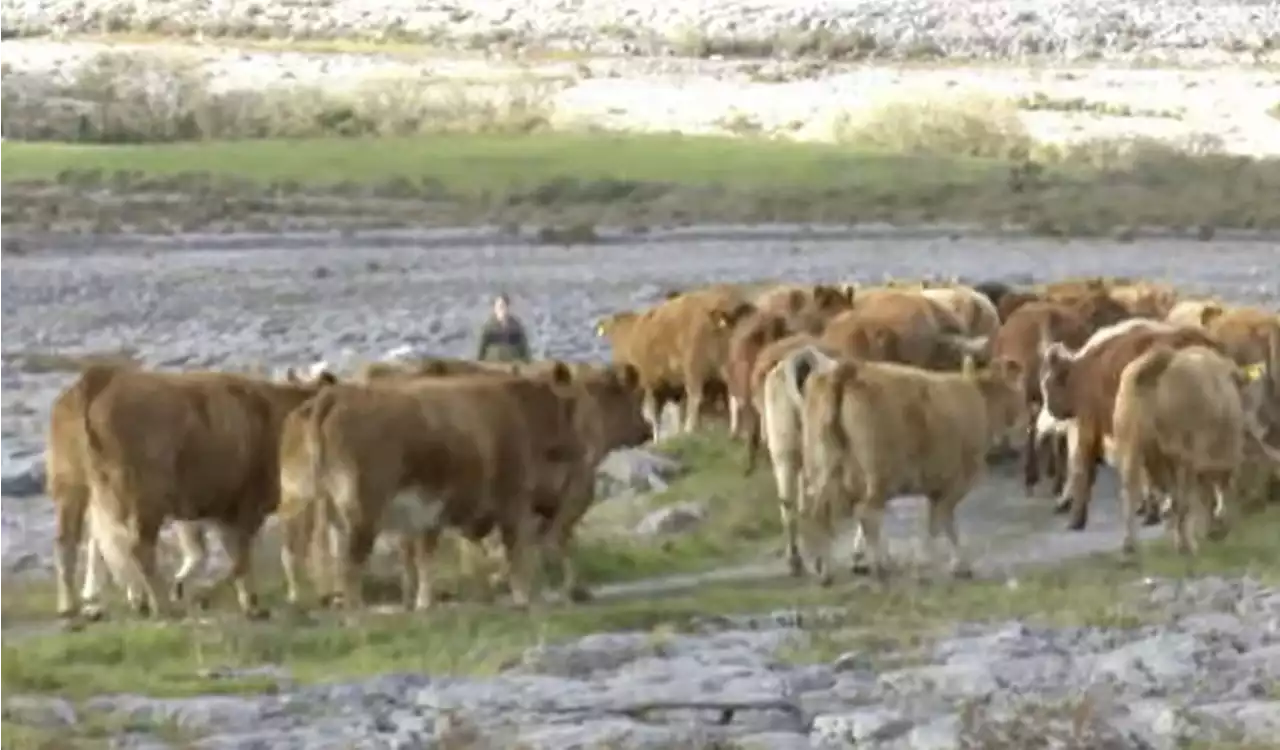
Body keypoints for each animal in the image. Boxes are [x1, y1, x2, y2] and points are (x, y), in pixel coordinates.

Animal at [55, 366, 337, 616]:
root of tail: (98, 380)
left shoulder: (214, 507)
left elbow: (219, 552)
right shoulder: (246, 502)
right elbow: (242, 554)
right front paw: (250, 602)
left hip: (72, 487)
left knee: (68, 541)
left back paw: (70, 605)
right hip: (144, 497)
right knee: (136, 547)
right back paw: (160, 605)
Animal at [793, 353, 1024, 581]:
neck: (979, 397)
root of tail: (849, 369)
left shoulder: (935, 486)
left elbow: (940, 523)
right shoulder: (956, 483)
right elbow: (940, 523)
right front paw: (937, 563)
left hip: (821, 470)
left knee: (819, 513)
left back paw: (824, 568)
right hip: (878, 476)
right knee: (866, 514)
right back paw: (880, 566)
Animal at [1039, 318, 1218, 527]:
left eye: (1047, 383)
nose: (1051, 408)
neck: (1085, 369)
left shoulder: (1089, 427)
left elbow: (1083, 469)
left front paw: (1076, 519)